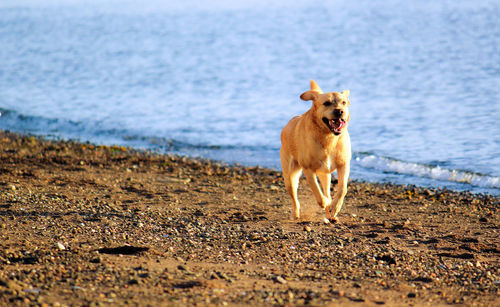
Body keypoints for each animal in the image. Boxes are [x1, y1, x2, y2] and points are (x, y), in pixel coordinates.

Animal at [282, 80, 352, 223]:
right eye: (326, 103)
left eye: (343, 102)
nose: (340, 111)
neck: (329, 138)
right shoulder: (308, 168)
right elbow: (316, 189)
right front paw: (325, 203)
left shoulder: (344, 164)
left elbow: (342, 188)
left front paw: (335, 207)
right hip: (290, 175)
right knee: (294, 197)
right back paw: (296, 214)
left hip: (325, 174)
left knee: (327, 191)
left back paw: (330, 214)